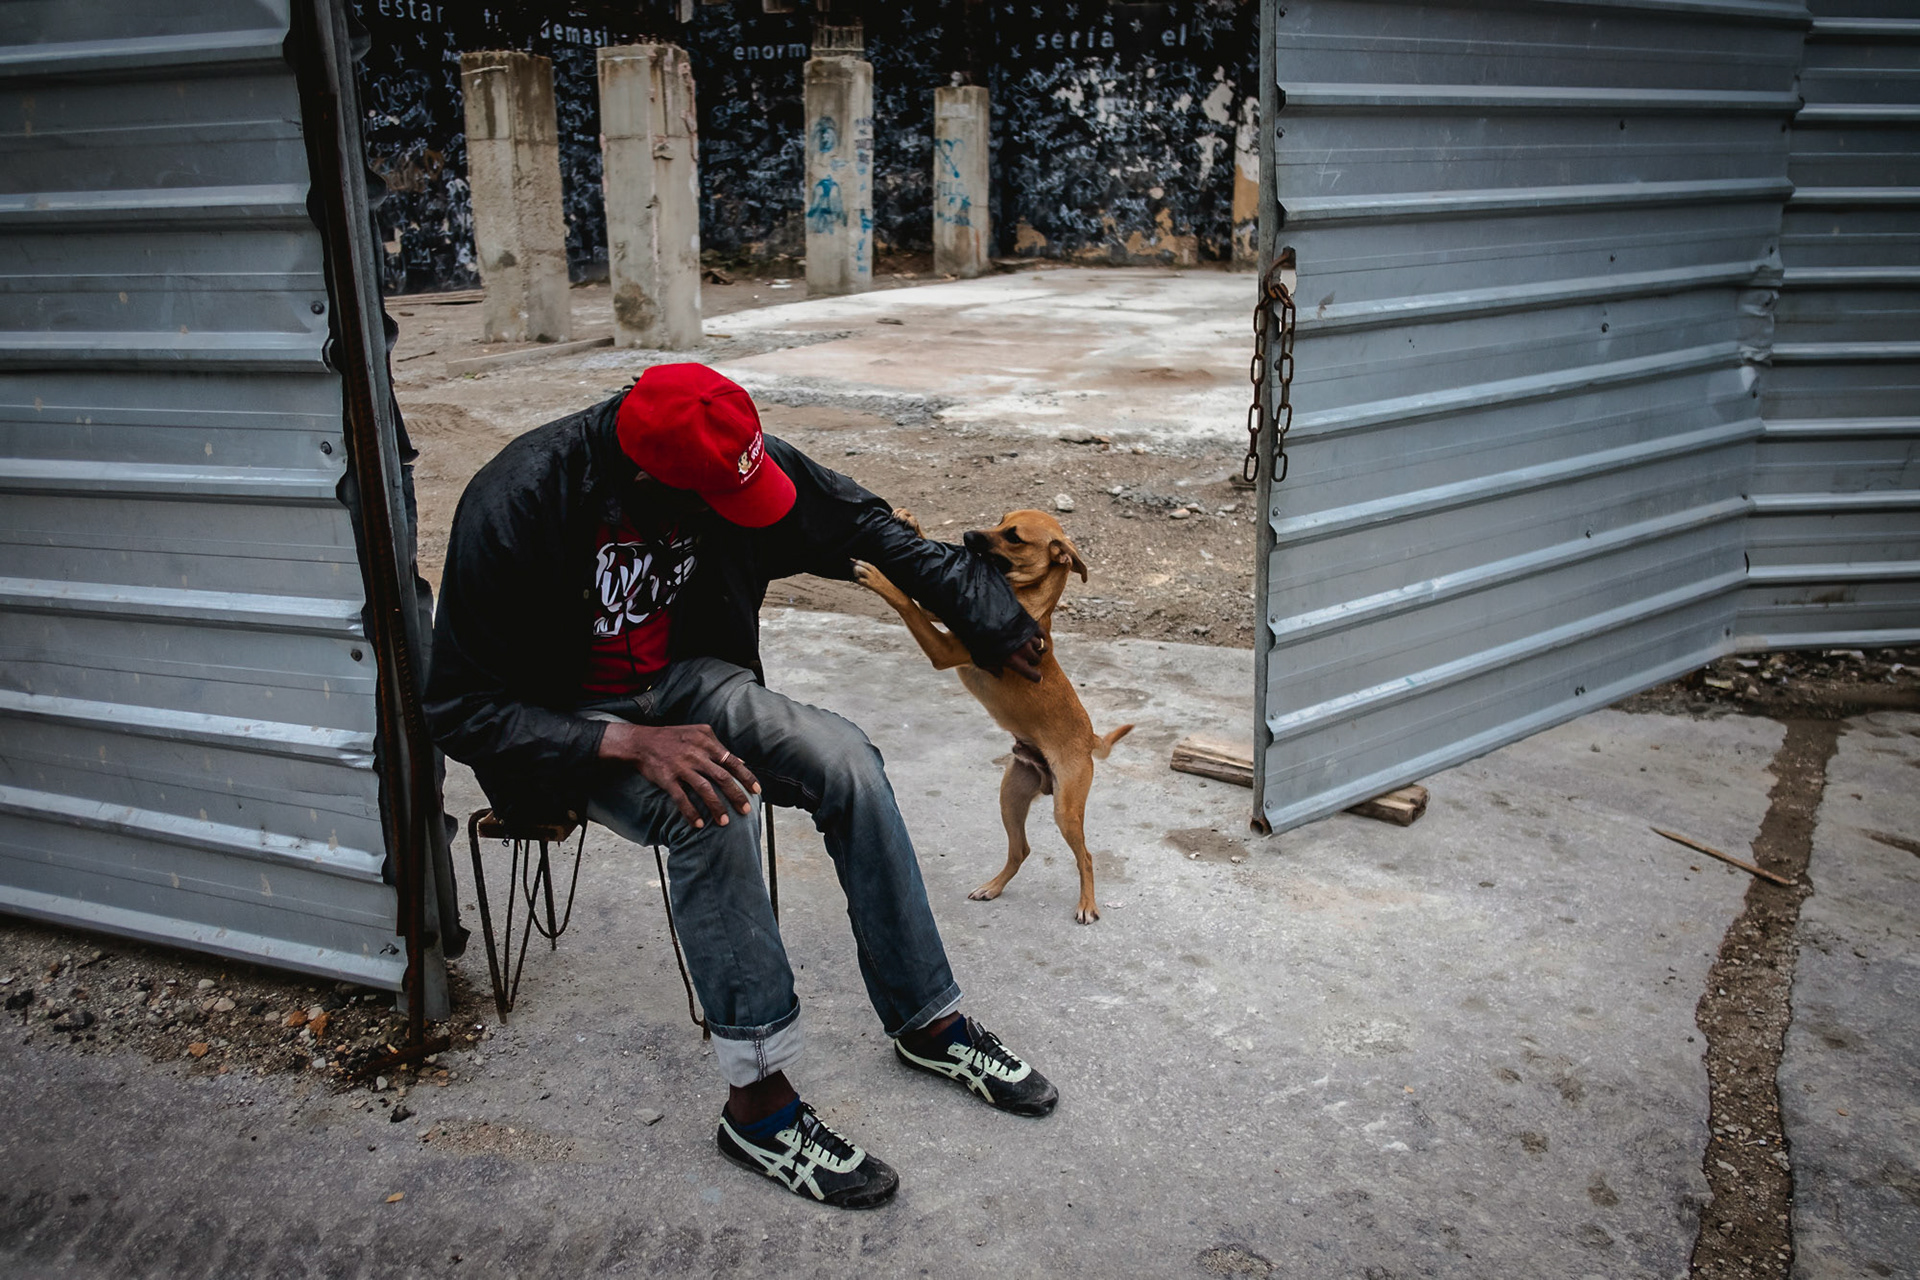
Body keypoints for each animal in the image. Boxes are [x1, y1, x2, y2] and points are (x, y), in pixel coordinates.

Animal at [854, 509, 1132, 924]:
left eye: (1014, 537)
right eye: (1001, 520)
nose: (968, 536)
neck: (1023, 602)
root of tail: (1090, 738)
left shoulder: (944, 648)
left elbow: (907, 603)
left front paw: (879, 578)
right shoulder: (944, 607)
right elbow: (925, 593)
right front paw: (911, 523)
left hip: (1065, 810)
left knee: (1085, 855)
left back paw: (1087, 904)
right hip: (1010, 798)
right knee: (1021, 850)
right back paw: (993, 887)